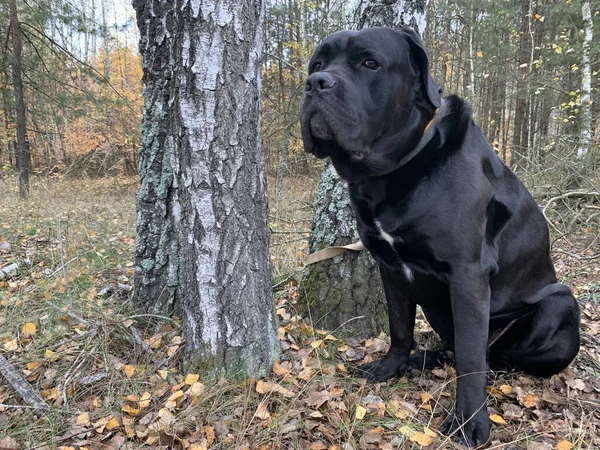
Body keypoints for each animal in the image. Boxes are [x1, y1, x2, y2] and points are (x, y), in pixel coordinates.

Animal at [300, 27, 580, 446]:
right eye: (317, 63)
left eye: (369, 62)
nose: (316, 82)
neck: (392, 173)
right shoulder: (390, 267)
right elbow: (400, 325)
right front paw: (392, 366)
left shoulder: (467, 275)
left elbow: (470, 357)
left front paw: (470, 422)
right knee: (454, 346)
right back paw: (425, 358)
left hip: (560, 304)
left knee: (494, 355)